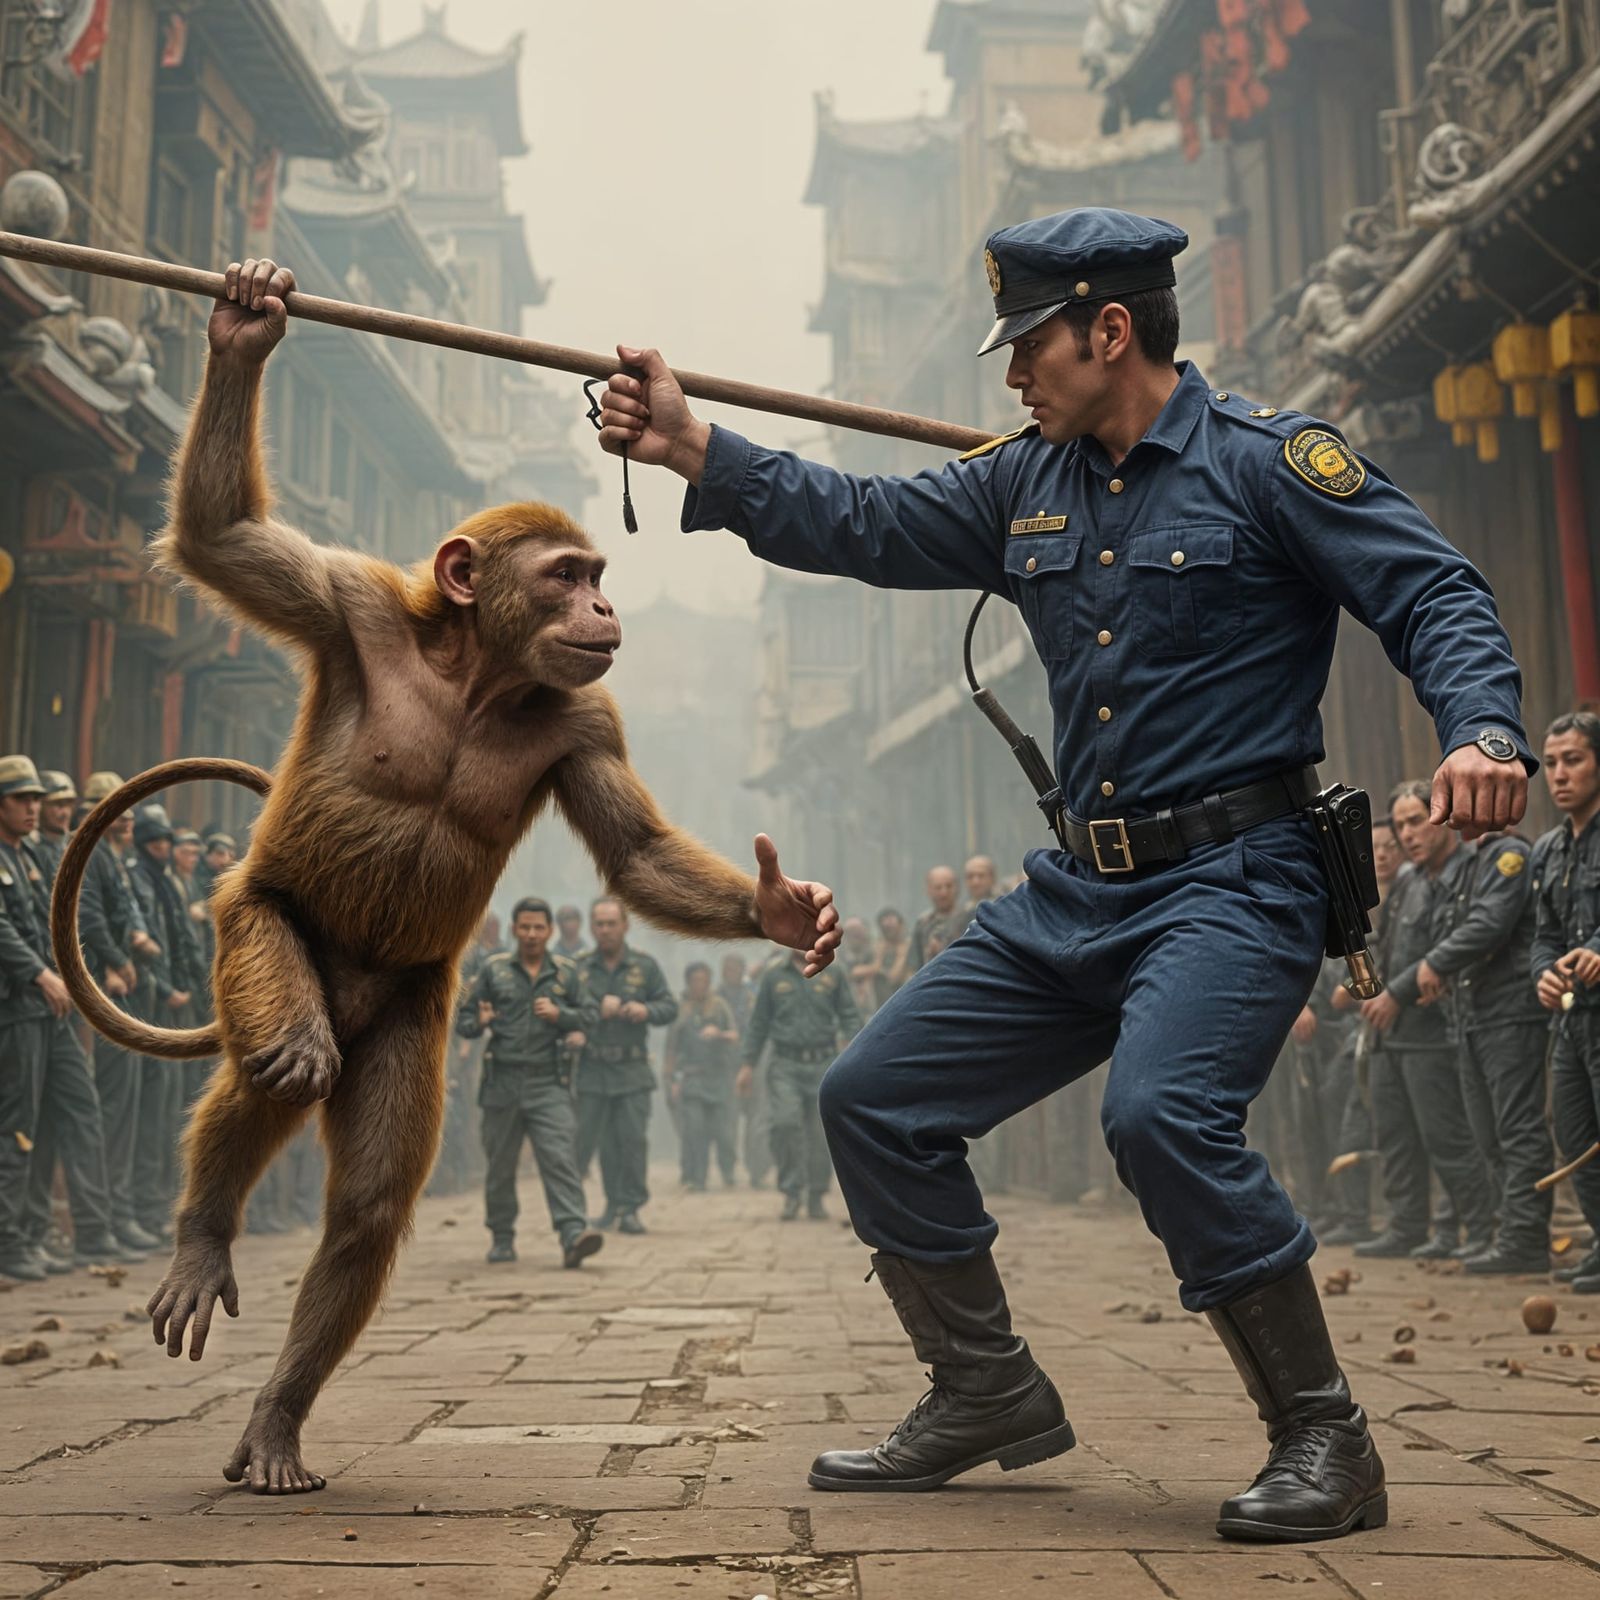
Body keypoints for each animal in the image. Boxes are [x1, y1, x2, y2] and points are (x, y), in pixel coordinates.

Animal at [53, 258, 841, 1495]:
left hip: (409, 1006)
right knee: (282, 1056)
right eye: (567, 574)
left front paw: (779, 909)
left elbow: (634, 852)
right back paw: (202, 1233)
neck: (476, 672)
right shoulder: (350, 605)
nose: (605, 606)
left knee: (369, 1200)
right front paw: (243, 324)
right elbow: (228, 538)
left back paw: (276, 1419)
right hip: (254, 924)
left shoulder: (585, 721)